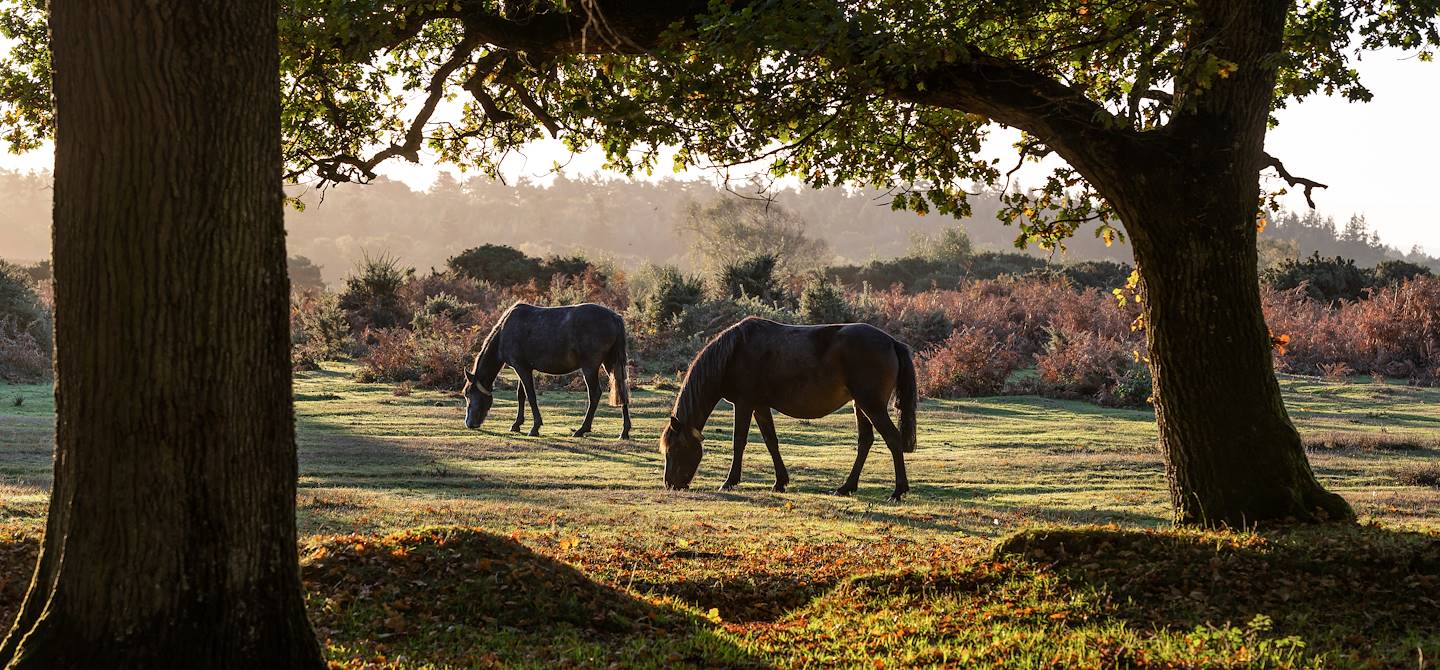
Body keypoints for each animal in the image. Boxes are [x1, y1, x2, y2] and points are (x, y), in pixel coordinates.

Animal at [460, 301, 630, 438]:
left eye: (468, 394)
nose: (469, 423)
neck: (504, 332)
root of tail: (614, 317)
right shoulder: (524, 368)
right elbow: (521, 395)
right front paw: (517, 424)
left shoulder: (521, 368)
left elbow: (530, 396)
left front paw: (534, 427)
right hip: (611, 363)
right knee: (622, 392)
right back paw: (624, 431)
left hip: (590, 367)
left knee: (594, 394)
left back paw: (582, 429)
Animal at [659, 315, 915, 498]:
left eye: (674, 449)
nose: (670, 484)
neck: (733, 354)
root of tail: (892, 342)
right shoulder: (760, 406)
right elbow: (771, 441)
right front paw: (780, 482)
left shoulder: (744, 404)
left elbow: (739, 441)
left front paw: (729, 482)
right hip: (860, 406)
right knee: (865, 442)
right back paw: (846, 487)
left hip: (872, 405)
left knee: (892, 439)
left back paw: (898, 491)